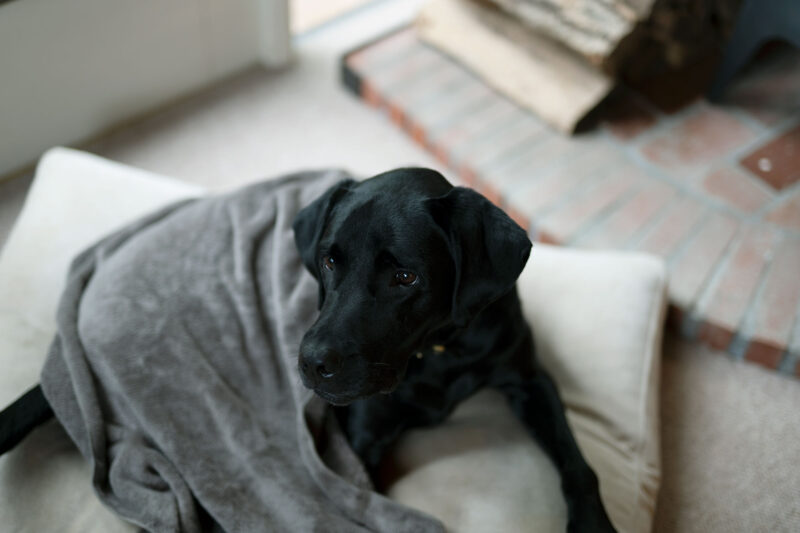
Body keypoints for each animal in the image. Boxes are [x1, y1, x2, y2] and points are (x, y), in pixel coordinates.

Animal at [1, 168, 615, 532]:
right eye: (328, 260)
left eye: (406, 277)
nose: (309, 364)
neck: (441, 349)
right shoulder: (359, 443)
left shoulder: (529, 378)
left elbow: (579, 465)